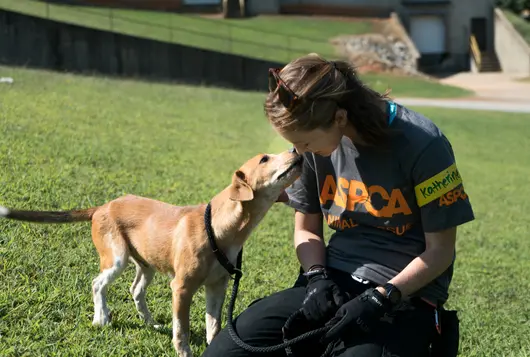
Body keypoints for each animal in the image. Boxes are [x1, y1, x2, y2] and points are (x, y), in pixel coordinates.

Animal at [0, 149, 302, 354]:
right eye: (264, 159)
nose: (296, 151)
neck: (222, 227)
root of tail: (102, 206)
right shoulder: (181, 287)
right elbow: (182, 329)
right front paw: (183, 352)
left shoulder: (217, 287)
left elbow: (213, 326)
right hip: (116, 257)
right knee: (98, 283)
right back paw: (101, 318)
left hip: (146, 264)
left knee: (135, 290)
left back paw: (150, 323)